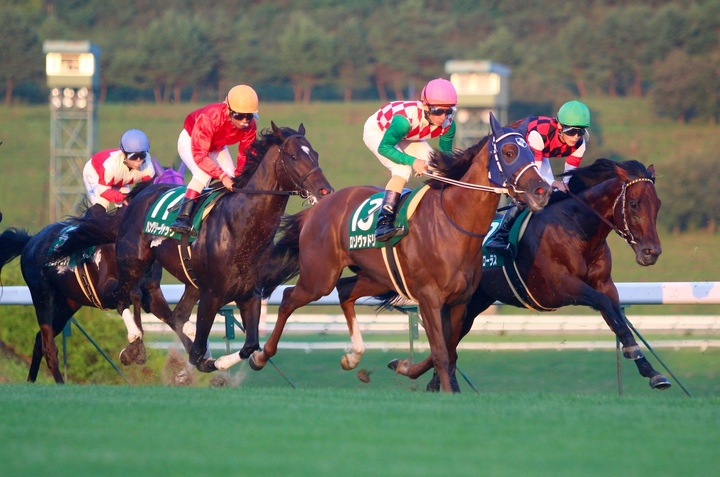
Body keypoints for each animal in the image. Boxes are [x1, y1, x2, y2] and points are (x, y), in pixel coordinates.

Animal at [0, 163, 187, 383]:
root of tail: (31, 241)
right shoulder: (105, 290)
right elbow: (132, 296)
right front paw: (134, 348)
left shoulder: (154, 292)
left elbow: (173, 319)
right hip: (42, 297)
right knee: (48, 347)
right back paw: (60, 383)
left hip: (68, 304)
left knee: (39, 340)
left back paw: (31, 382)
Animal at [49, 123, 334, 373]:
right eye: (293, 156)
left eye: (316, 154)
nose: (325, 191)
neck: (241, 227)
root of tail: (137, 199)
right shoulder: (211, 295)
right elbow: (197, 350)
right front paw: (201, 362)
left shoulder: (249, 294)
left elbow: (250, 345)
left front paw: (221, 362)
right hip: (133, 263)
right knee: (122, 296)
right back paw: (133, 344)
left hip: (186, 281)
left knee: (171, 313)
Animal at [251, 113, 551, 392]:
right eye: (509, 152)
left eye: (531, 151)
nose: (542, 190)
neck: (454, 222)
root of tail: (320, 205)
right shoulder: (429, 297)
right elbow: (441, 353)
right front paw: (444, 390)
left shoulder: (460, 300)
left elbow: (448, 350)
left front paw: (406, 367)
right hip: (319, 277)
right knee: (289, 299)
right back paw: (259, 356)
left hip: (376, 276)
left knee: (345, 291)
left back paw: (353, 356)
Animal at [420, 158, 670, 391]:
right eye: (634, 204)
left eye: (657, 204)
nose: (652, 252)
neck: (576, 227)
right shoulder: (559, 287)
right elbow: (603, 304)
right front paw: (635, 353)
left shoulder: (604, 284)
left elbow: (616, 317)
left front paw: (652, 372)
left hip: (474, 300)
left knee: (454, 334)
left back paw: (437, 382)